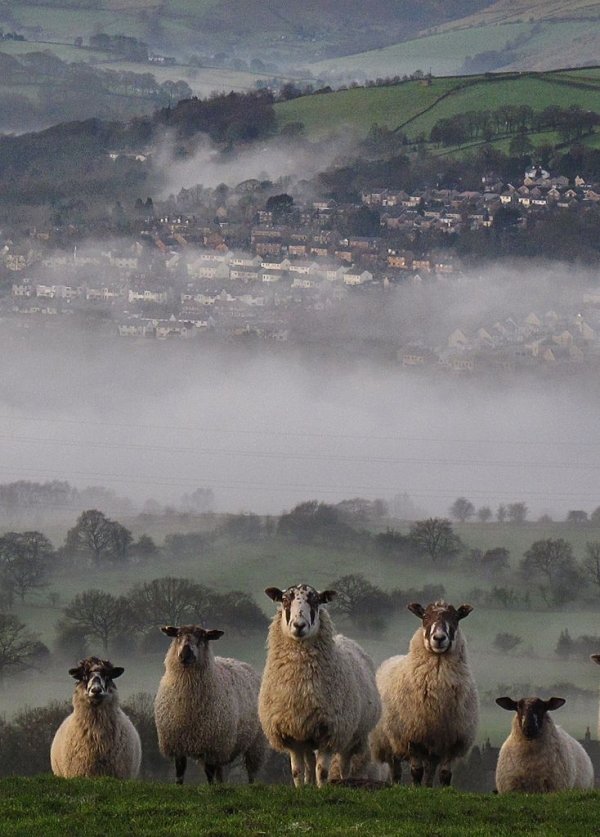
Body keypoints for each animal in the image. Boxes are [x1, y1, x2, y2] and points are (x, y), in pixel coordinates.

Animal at [154, 620, 266, 784]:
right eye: (178, 635)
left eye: (202, 636)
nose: (185, 654)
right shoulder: (177, 744)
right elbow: (179, 774)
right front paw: (179, 786)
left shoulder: (211, 746)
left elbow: (209, 774)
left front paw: (211, 787)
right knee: (220, 772)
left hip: (255, 743)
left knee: (251, 772)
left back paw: (251, 786)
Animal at [258, 584, 380, 788]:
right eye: (285, 600)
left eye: (315, 601)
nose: (299, 625)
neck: (300, 683)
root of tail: (344, 638)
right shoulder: (292, 733)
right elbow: (297, 771)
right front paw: (302, 789)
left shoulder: (330, 731)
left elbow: (322, 771)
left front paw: (322, 789)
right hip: (307, 734)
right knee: (309, 761)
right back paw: (309, 784)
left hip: (351, 735)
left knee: (344, 763)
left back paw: (344, 781)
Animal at [370, 596, 478, 788]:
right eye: (425, 617)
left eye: (455, 618)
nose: (439, 638)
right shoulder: (412, 737)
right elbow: (416, 771)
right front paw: (415, 789)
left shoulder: (452, 741)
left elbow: (445, 774)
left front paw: (442, 790)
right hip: (388, 741)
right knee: (396, 770)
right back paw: (397, 785)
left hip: (433, 746)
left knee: (430, 770)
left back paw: (427, 786)